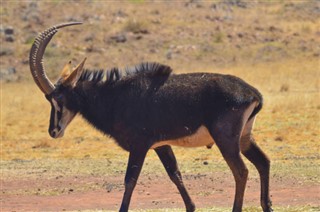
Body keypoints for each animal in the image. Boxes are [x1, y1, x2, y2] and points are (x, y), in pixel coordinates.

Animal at [29, 22, 272, 211]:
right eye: (48, 99)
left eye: (59, 98)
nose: (54, 131)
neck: (115, 96)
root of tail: (253, 94)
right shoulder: (161, 145)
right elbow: (175, 174)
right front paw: (191, 207)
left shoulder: (140, 145)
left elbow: (130, 180)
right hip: (244, 138)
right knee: (263, 162)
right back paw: (267, 206)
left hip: (226, 139)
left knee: (241, 171)